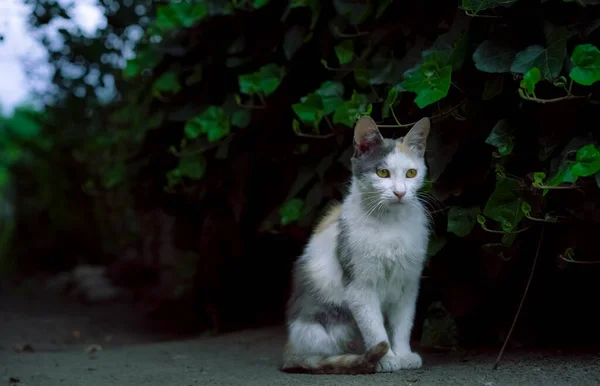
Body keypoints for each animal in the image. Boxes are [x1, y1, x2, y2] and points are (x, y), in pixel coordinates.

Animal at [278, 115, 428, 374]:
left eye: (411, 173)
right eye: (382, 172)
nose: (400, 193)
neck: (390, 224)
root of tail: (291, 350)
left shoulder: (408, 283)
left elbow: (403, 322)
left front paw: (403, 355)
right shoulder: (359, 285)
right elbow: (373, 326)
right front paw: (386, 358)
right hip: (331, 319)